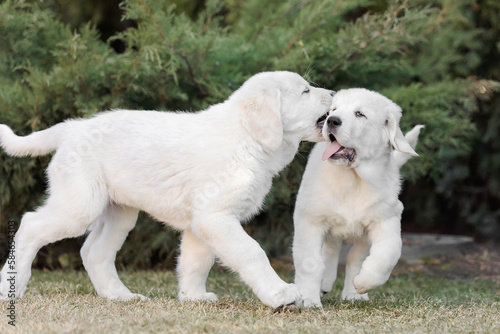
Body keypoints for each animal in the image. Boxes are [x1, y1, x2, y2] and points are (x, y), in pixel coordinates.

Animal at [292, 88, 422, 308]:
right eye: (333, 110)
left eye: (360, 114)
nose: (331, 120)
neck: (354, 179)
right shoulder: (310, 220)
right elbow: (310, 264)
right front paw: (309, 299)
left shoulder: (386, 219)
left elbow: (387, 254)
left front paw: (363, 283)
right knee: (330, 251)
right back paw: (323, 284)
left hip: (363, 235)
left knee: (354, 257)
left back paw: (353, 293)